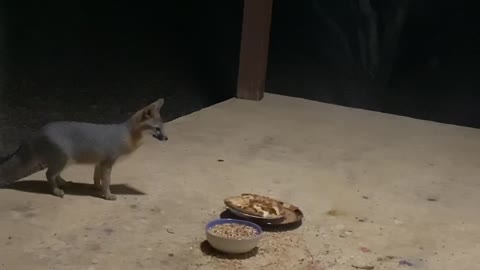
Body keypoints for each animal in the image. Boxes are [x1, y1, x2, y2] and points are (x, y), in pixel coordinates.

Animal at [0, 98, 169, 199]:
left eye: (162, 128)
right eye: (157, 129)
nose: (166, 138)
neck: (126, 134)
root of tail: (36, 132)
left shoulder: (99, 162)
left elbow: (96, 178)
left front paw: (97, 188)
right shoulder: (107, 163)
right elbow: (106, 181)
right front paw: (107, 195)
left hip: (65, 162)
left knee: (54, 174)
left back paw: (64, 183)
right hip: (64, 160)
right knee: (48, 175)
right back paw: (56, 191)